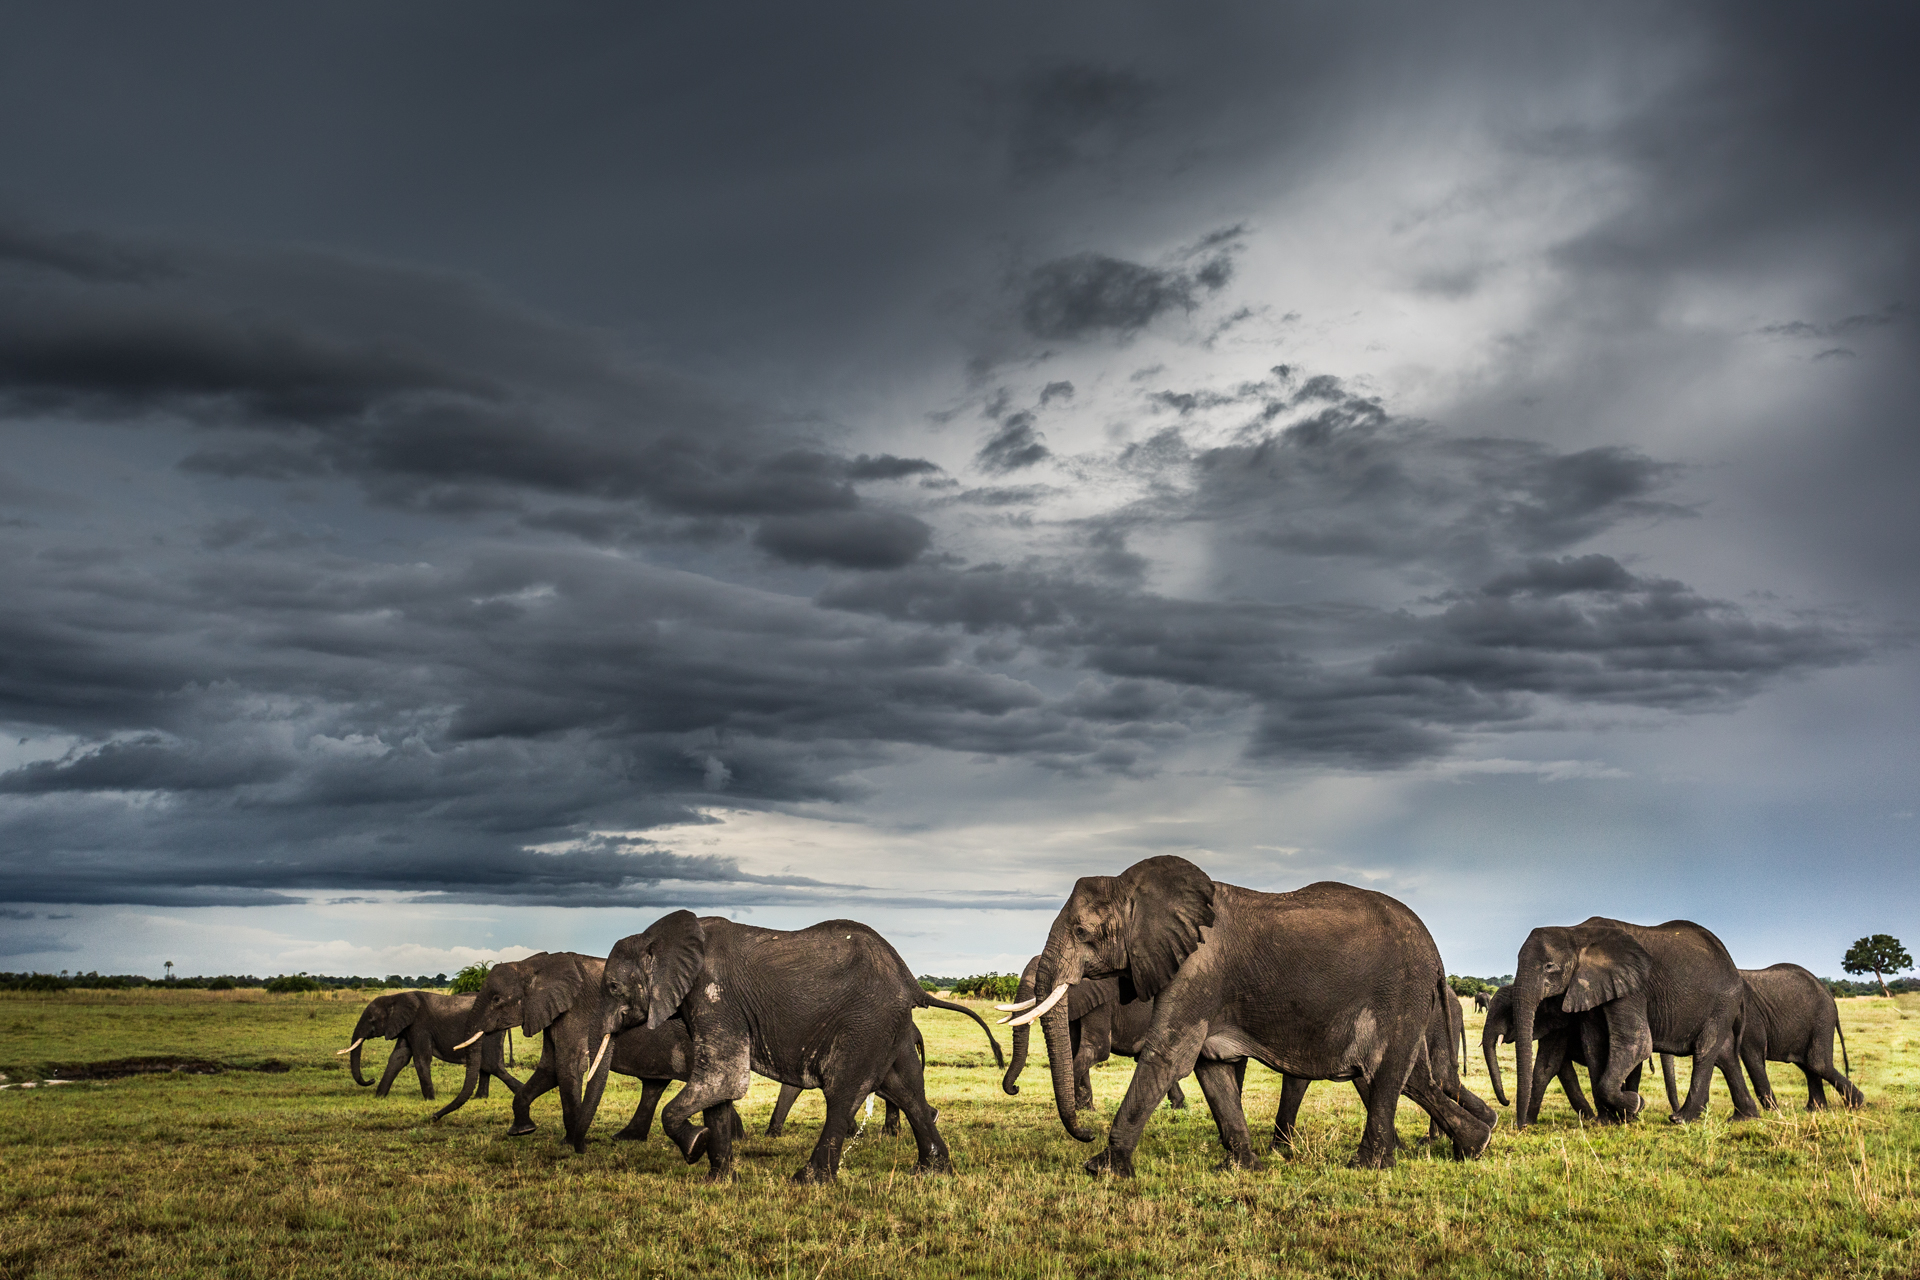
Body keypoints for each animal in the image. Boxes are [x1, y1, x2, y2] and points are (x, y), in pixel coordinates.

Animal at [338, 990, 519, 1114]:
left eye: (371, 1019)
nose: (371, 1080)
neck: (395, 997)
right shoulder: (406, 1027)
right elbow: (398, 1058)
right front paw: (379, 1097)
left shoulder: (420, 1025)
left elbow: (421, 1059)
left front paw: (431, 1100)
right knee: (486, 1066)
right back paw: (479, 1098)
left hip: (491, 1033)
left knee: (491, 1065)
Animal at [597, 912, 1006, 1182]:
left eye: (614, 987)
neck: (658, 938)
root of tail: (910, 979)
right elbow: (720, 1089)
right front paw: (719, 1179)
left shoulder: (716, 997)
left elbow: (722, 1078)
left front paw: (694, 1145)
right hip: (888, 1027)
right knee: (906, 1090)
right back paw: (930, 1172)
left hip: (864, 1022)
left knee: (843, 1093)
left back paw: (809, 1179)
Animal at [998, 955, 1186, 1113]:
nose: (1016, 1088)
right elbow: (1076, 1050)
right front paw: (1087, 1108)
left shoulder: (1101, 1003)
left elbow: (1096, 1049)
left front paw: (1080, 1102)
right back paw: (1178, 1107)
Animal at [1509, 918, 1761, 1130]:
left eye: (1549, 966)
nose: (1522, 1127)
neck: (1576, 932)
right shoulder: (1592, 986)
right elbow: (1594, 1046)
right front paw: (1607, 1120)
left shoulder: (1633, 986)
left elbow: (1637, 1044)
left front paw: (1634, 1106)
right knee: (1725, 1054)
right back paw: (1745, 1118)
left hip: (1724, 999)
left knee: (1705, 1049)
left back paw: (1681, 1119)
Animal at [1735, 963, 1864, 1110]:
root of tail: (1830, 996)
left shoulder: (1749, 1016)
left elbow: (1752, 1053)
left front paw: (1773, 1112)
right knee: (1808, 1064)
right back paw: (1816, 1109)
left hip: (1822, 1019)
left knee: (1818, 1065)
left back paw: (1855, 1104)